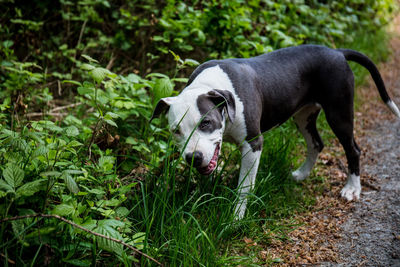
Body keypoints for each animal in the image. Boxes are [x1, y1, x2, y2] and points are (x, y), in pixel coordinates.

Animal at [151, 44, 400, 220]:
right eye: (175, 131)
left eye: (206, 123)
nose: (193, 157)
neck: (211, 85)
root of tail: (337, 52)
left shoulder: (253, 144)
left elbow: (244, 188)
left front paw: (235, 219)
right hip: (304, 116)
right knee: (316, 143)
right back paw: (301, 174)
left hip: (339, 114)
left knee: (353, 149)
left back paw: (352, 189)